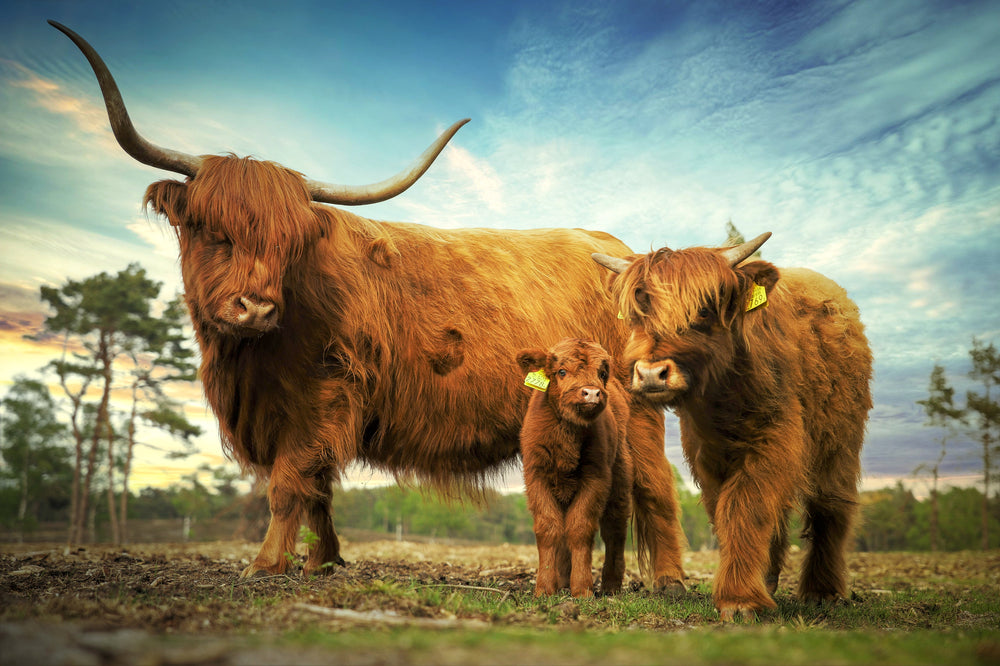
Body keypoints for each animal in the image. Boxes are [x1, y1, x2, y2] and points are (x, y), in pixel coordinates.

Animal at [516, 338, 632, 597]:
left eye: (601, 373)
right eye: (561, 371)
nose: (592, 393)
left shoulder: (596, 478)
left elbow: (580, 528)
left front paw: (582, 588)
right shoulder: (536, 476)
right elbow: (549, 528)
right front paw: (545, 587)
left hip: (620, 480)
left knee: (615, 529)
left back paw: (611, 585)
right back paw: (562, 580)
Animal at [592, 232, 873, 620]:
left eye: (703, 310)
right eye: (638, 312)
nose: (650, 374)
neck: (724, 397)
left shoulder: (774, 439)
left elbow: (747, 505)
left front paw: (739, 599)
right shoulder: (706, 455)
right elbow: (725, 510)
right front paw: (748, 588)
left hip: (839, 438)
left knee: (830, 503)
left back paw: (823, 591)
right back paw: (770, 578)